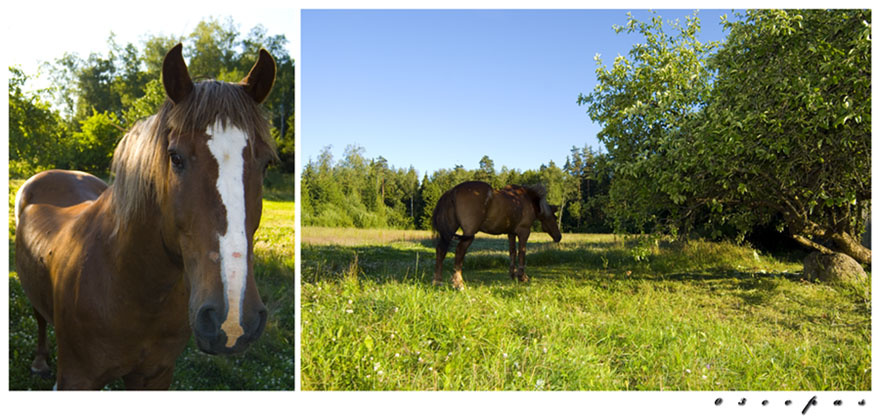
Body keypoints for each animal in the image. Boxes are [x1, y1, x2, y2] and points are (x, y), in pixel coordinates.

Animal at [14, 43, 277, 390]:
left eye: (266, 164)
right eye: (175, 157)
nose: (232, 320)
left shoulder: (155, 375)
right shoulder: (76, 378)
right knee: (40, 317)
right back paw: (40, 361)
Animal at [431, 181, 562, 289]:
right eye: (555, 218)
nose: (559, 237)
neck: (526, 200)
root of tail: (453, 191)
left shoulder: (511, 233)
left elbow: (513, 252)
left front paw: (513, 275)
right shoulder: (524, 232)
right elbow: (522, 253)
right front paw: (522, 276)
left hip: (448, 233)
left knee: (441, 250)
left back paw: (437, 281)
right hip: (468, 234)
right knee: (459, 252)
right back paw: (458, 283)